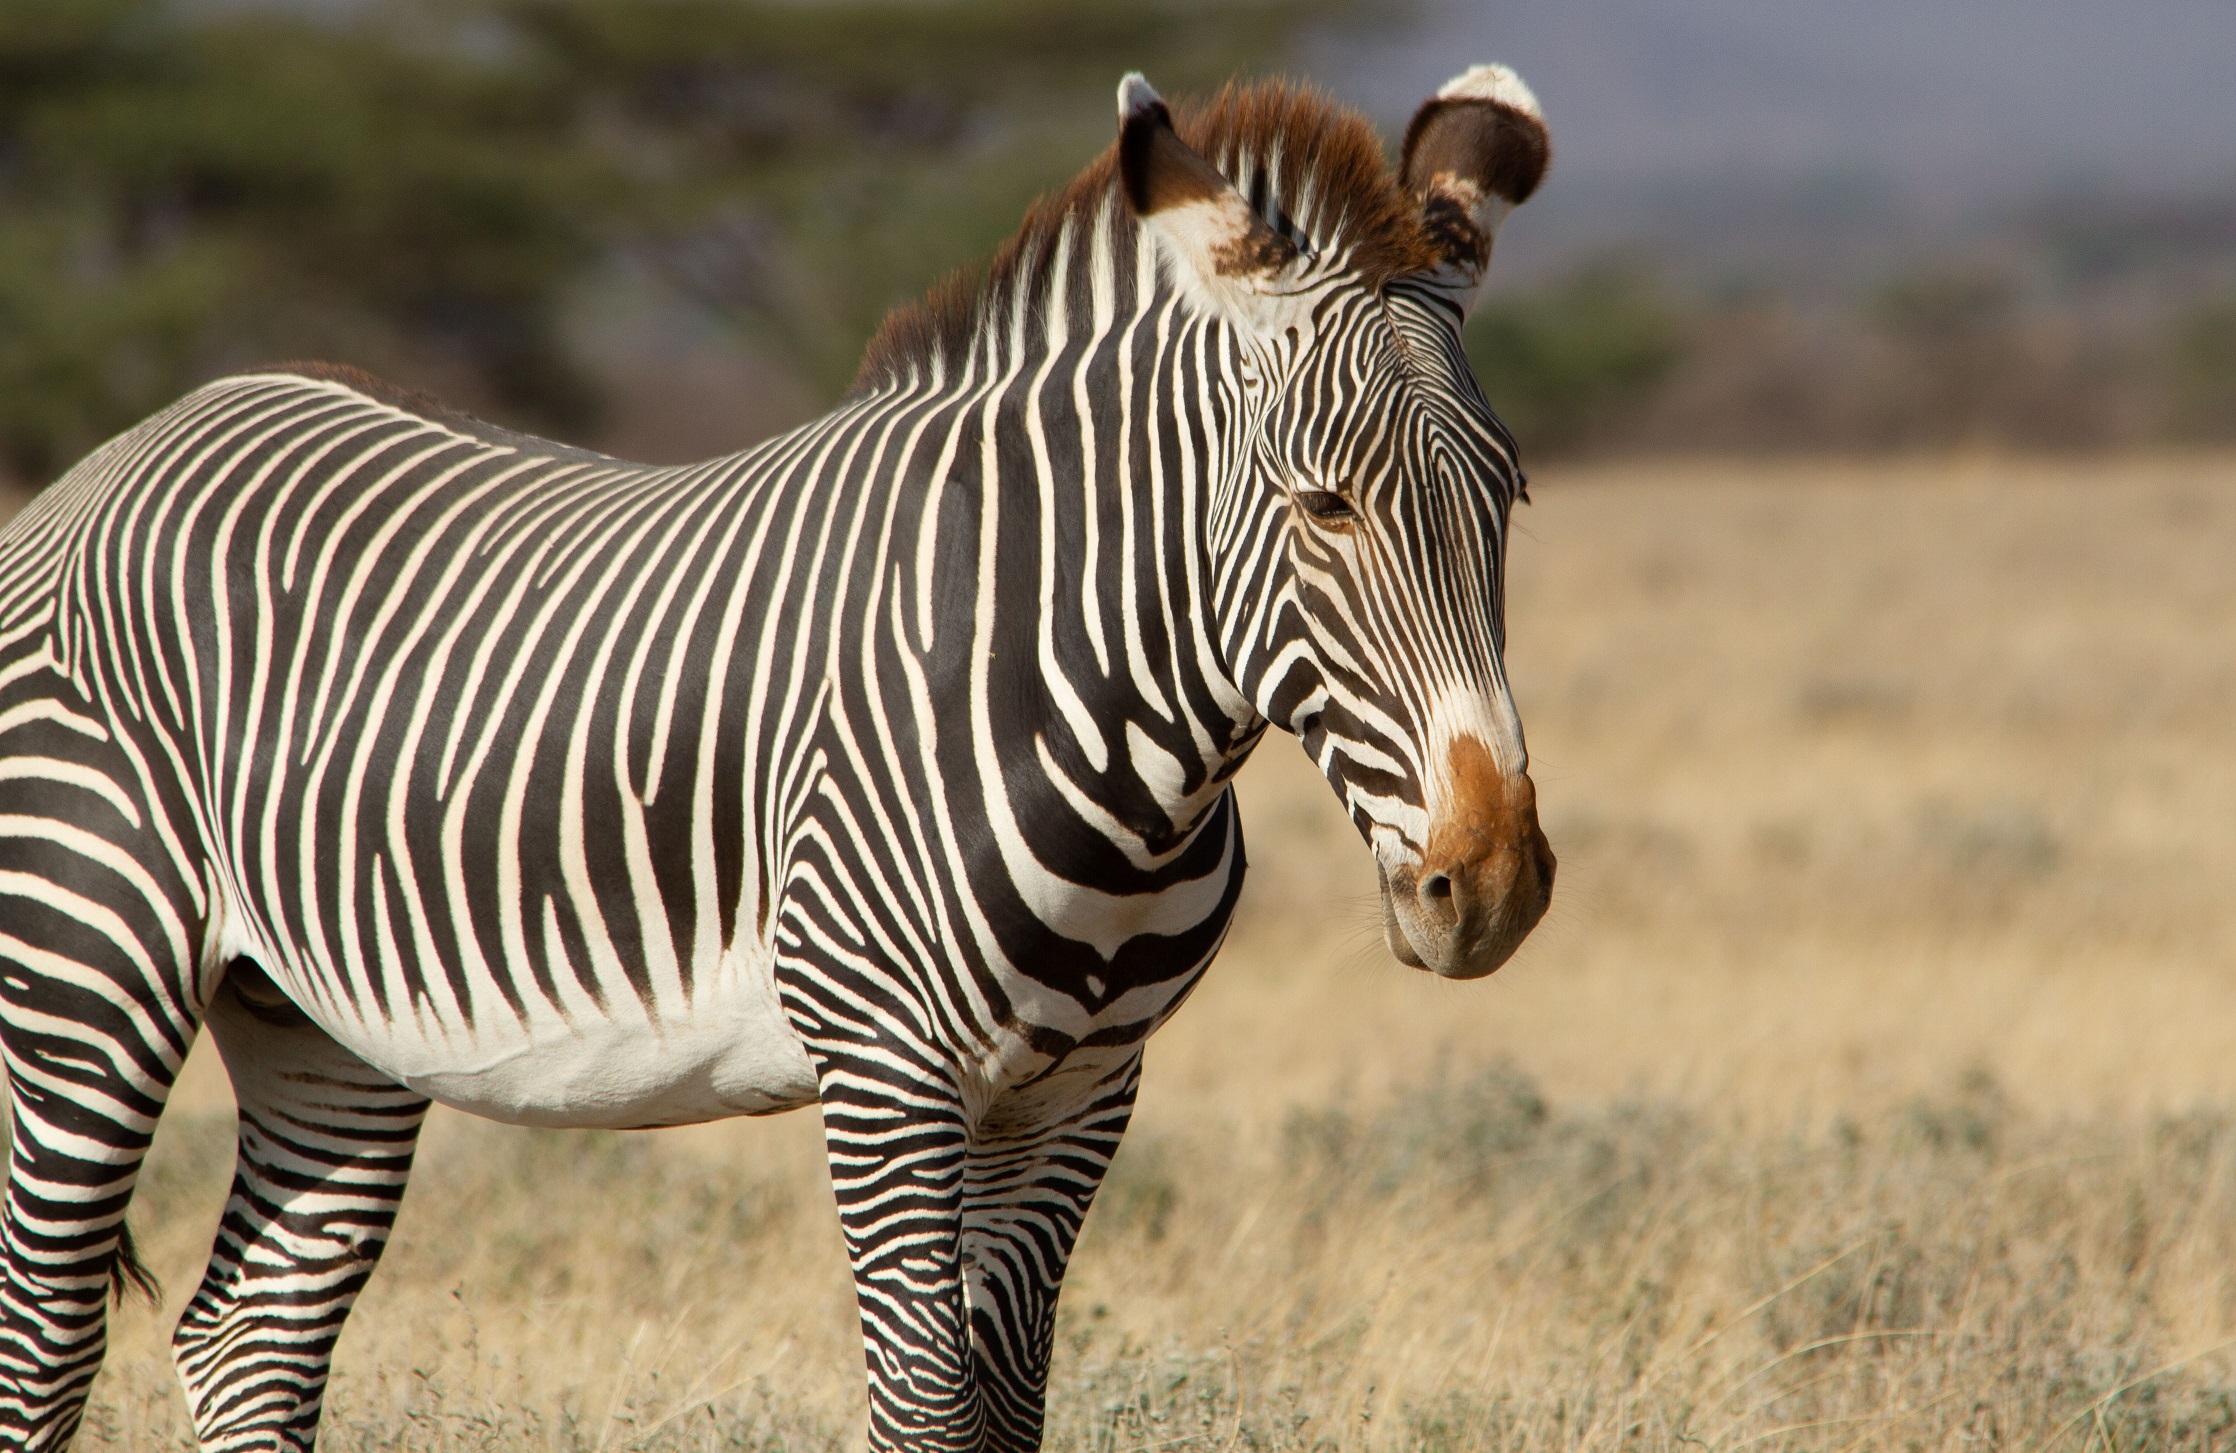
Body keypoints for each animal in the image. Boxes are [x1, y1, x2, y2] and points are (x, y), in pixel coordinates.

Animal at [0, 62, 1554, 1452]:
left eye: (1511, 497)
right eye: (1325, 507)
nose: (1489, 884)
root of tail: (131, 447)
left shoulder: (1078, 1089)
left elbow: (1010, 1412)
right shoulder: (887, 1068)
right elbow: (925, 1412)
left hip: (317, 1017)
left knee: (249, 1337)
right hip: (84, 972)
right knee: (45, 1341)